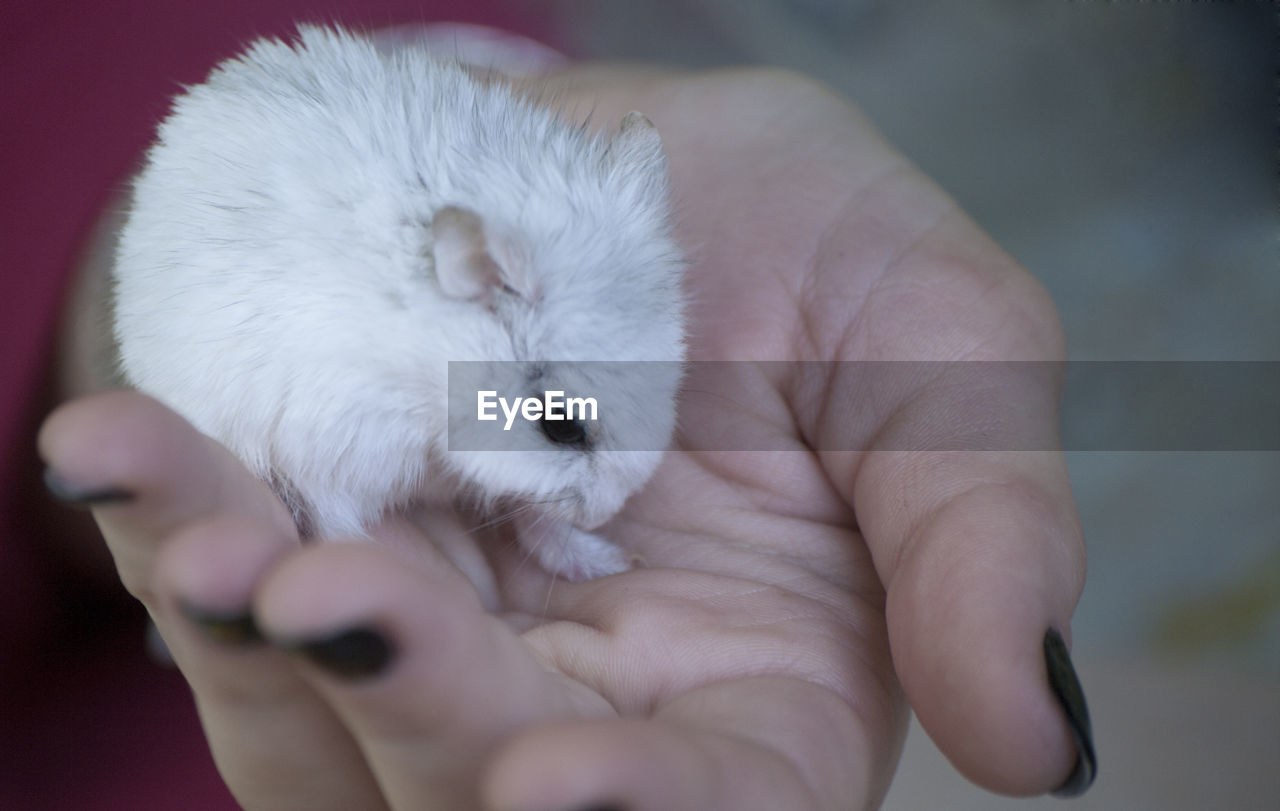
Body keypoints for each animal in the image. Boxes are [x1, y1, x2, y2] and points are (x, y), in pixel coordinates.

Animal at [111, 25, 691, 580]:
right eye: (562, 426)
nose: (605, 515)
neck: (428, 380)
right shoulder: (324, 454)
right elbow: (337, 523)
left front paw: (615, 558)